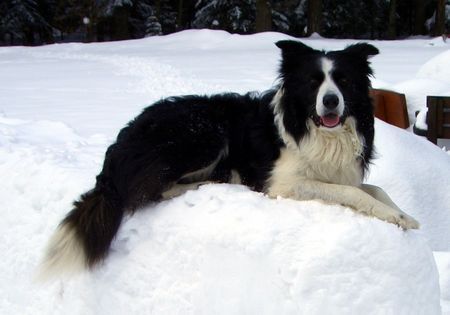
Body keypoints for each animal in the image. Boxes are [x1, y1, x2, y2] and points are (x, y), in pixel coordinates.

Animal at [37, 40, 418, 280]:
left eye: (344, 81)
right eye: (313, 83)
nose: (330, 101)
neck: (317, 131)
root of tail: (117, 151)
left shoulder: (339, 173)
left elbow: (375, 189)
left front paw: (404, 214)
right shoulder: (282, 183)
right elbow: (352, 193)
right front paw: (393, 216)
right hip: (206, 131)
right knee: (153, 191)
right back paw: (209, 182)